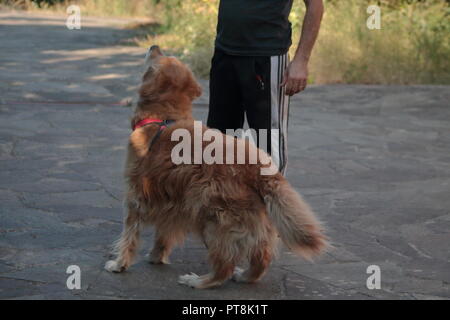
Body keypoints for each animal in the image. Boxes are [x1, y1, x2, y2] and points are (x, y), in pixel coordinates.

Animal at [104, 46, 326, 288]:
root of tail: (258, 166)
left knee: (224, 265)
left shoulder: (136, 194)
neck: (165, 116)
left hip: (212, 215)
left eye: (159, 57)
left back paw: (199, 281)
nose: (155, 47)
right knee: (261, 254)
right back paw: (246, 275)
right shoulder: (171, 198)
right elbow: (164, 231)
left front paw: (120, 264)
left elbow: (129, 234)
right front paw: (157, 255)